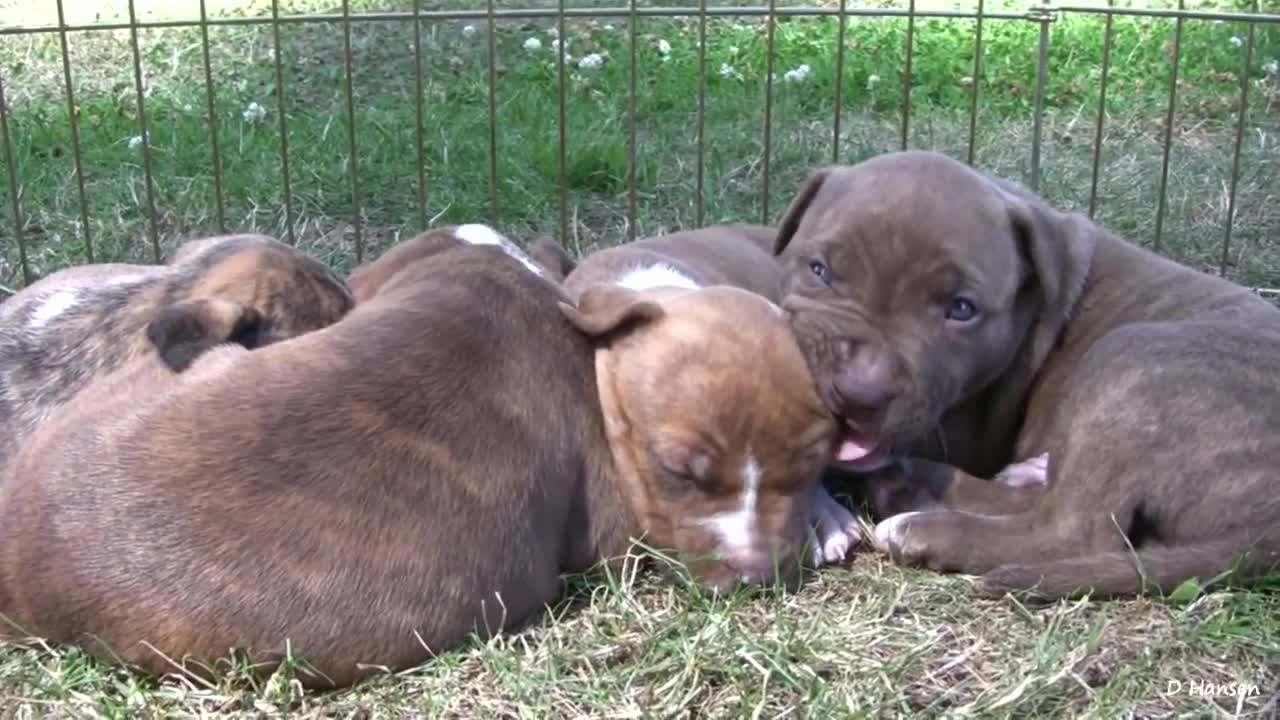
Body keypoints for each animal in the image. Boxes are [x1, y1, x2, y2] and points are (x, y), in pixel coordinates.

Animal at [768, 148, 1280, 597]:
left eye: (962, 309)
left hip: (1133, 358)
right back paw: (915, 486)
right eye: (820, 270)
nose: (859, 392)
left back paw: (920, 522)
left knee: (1074, 529)